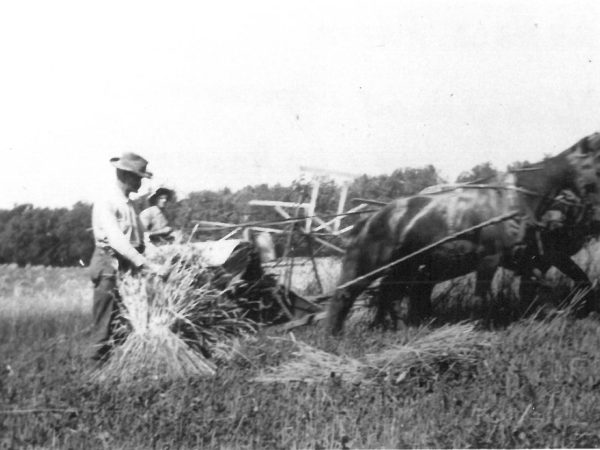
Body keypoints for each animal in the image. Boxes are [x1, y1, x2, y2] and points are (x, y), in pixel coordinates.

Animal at [326, 132, 600, 332]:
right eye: (597, 167)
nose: (594, 213)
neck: (514, 199)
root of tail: (369, 219)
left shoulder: (524, 258)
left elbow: (542, 289)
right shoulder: (490, 258)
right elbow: (482, 297)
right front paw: (478, 327)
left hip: (404, 267)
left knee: (387, 295)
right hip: (369, 265)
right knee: (345, 295)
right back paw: (334, 335)